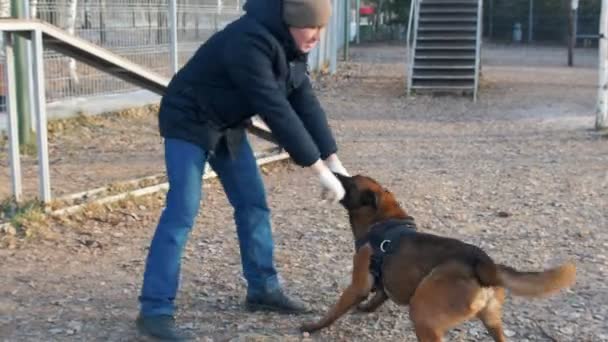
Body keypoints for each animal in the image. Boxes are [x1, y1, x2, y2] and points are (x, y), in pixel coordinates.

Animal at [302, 175, 576, 340]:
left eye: (349, 184)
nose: (333, 173)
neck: (382, 219)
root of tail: (482, 263)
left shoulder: (358, 283)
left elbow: (335, 310)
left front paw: (313, 327)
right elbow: (379, 296)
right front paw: (368, 308)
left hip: (423, 315)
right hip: (492, 321)